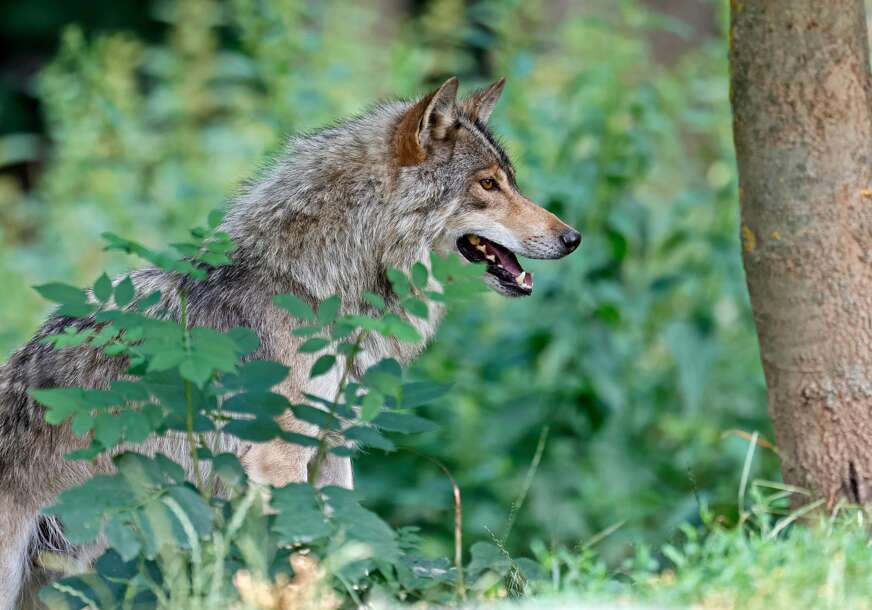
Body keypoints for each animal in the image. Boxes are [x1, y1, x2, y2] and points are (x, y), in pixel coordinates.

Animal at [3, 77, 584, 608]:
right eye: (487, 184)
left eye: (511, 181)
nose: (573, 238)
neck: (316, 285)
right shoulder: (277, 459)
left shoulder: (330, 450)